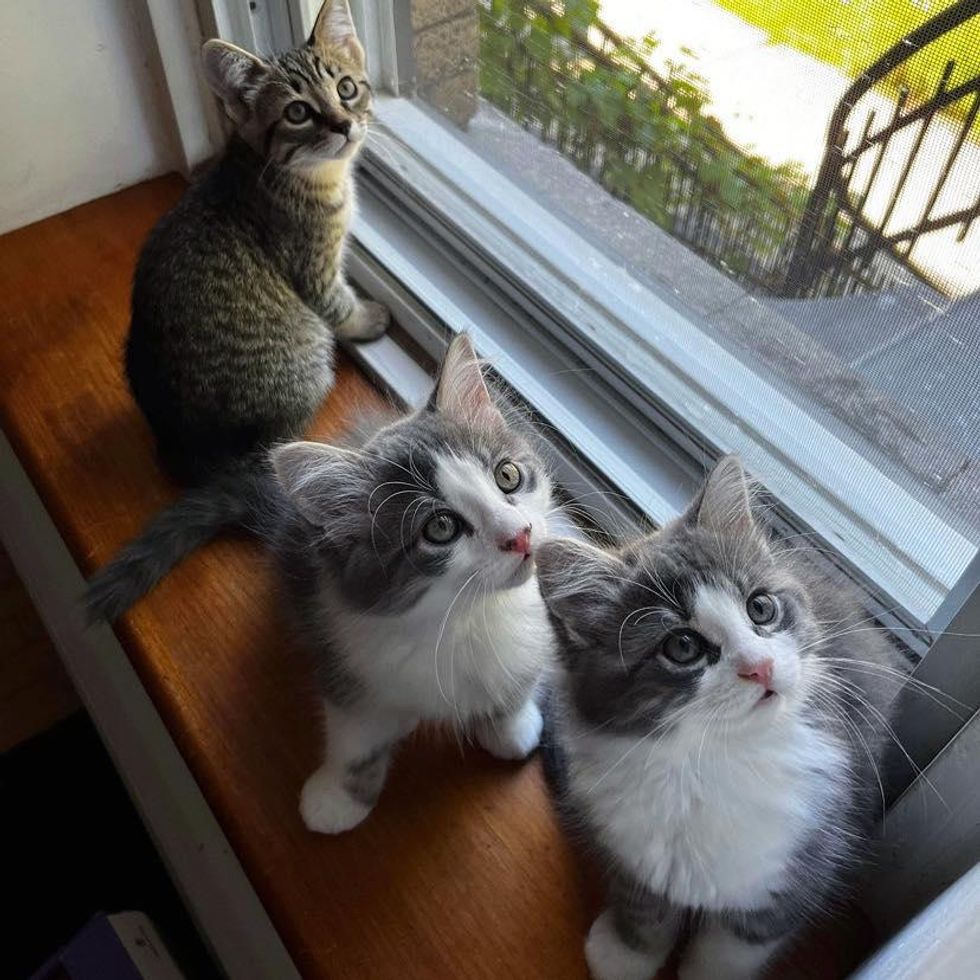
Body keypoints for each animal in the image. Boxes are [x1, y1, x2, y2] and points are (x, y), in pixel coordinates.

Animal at [129, 0, 386, 482]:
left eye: (346, 88)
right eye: (297, 112)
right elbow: (339, 304)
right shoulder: (314, 269)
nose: (344, 124)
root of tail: (186, 447)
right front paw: (366, 318)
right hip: (309, 351)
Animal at [272, 336, 556, 836]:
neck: (462, 615)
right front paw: (336, 797)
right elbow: (355, 736)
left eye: (507, 476)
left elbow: (516, 682)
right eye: (440, 527)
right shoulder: (348, 659)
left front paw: (510, 728)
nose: (519, 535)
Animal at [540, 460, 900, 980]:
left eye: (761, 608)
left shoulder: (797, 868)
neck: (714, 759)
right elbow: (644, 910)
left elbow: (731, 946)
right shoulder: (631, 849)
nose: (760, 666)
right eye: (682, 646)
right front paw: (627, 954)